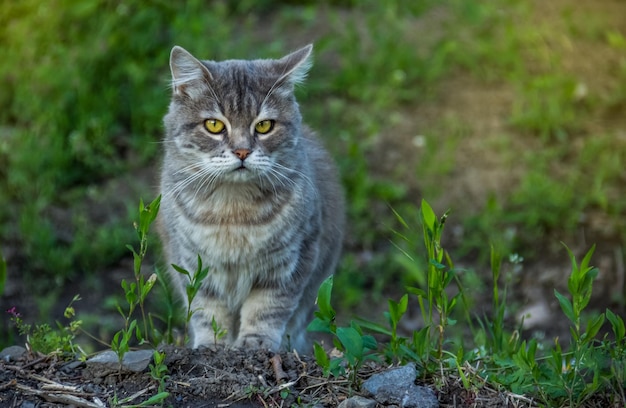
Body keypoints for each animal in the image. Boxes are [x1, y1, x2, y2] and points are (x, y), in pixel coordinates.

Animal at [155, 43, 342, 350]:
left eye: (264, 126)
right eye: (214, 125)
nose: (242, 151)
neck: (233, 214)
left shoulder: (291, 261)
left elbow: (267, 308)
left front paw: (256, 343)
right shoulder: (193, 262)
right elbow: (207, 311)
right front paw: (211, 346)